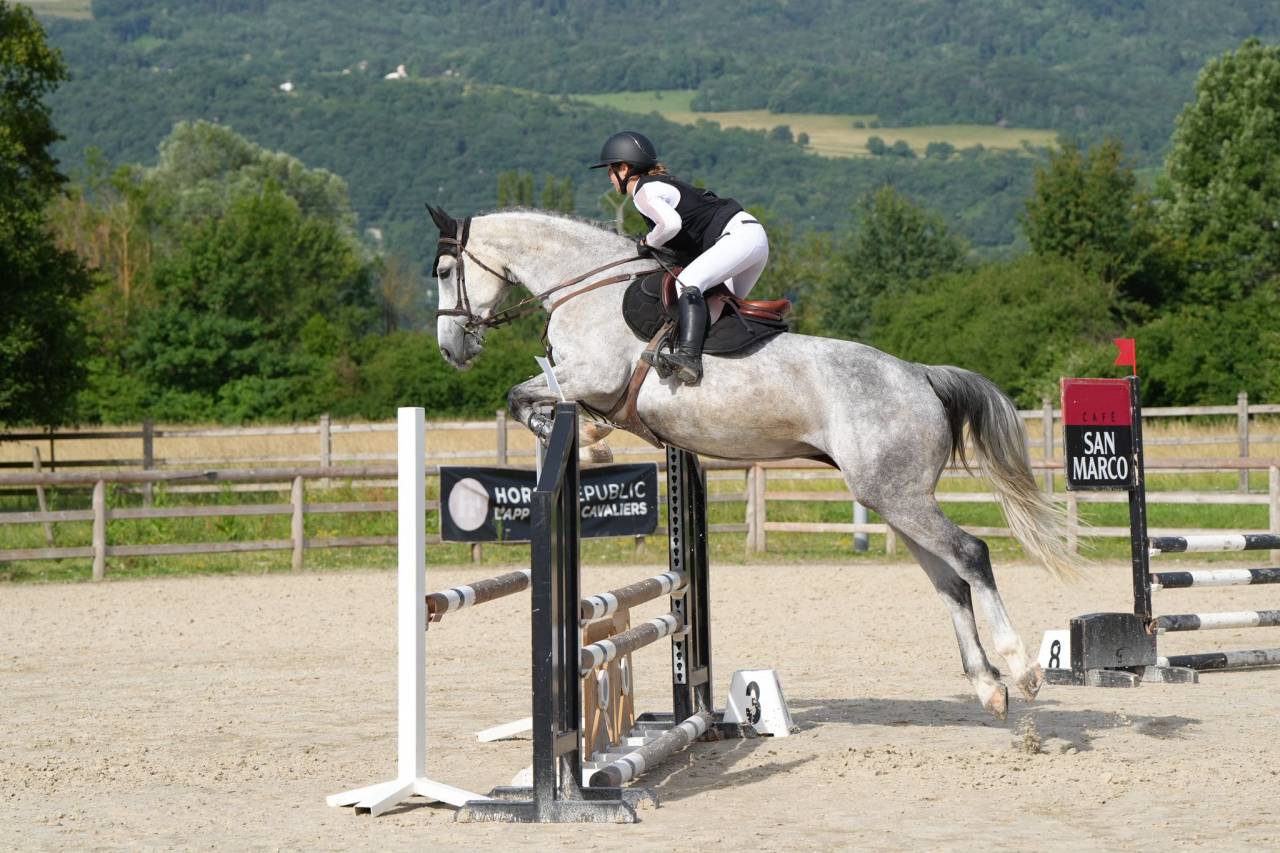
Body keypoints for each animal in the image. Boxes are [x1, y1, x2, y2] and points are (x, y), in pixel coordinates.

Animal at [428, 206, 1077, 720]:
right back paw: (988, 687)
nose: (450, 350)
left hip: (898, 496)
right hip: (894, 498)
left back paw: (1021, 669)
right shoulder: (583, 385)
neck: (587, 288)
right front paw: (588, 439)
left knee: (971, 555)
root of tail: (920, 376)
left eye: (443, 271)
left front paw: (586, 442)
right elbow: (526, 398)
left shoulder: (593, 378)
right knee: (950, 582)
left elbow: (521, 396)